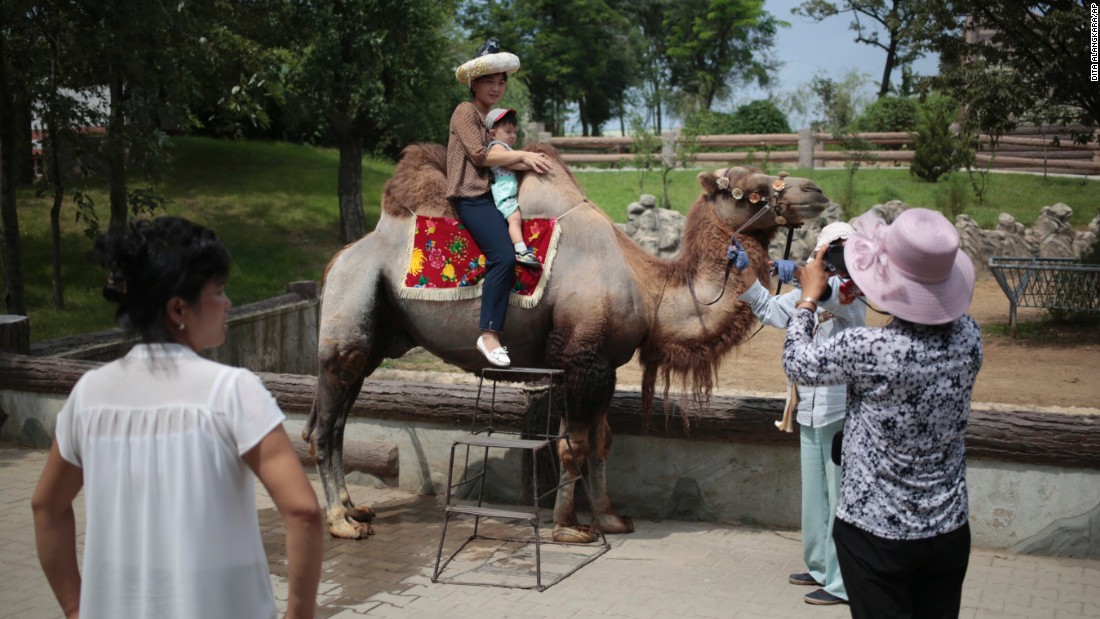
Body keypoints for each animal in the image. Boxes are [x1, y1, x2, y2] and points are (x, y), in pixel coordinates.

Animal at [301, 142, 827, 540]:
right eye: (749, 190)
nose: (816, 191)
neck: (650, 287)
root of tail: (336, 261)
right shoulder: (580, 355)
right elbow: (572, 446)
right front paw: (569, 527)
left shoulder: (604, 363)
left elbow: (601, 442)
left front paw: (612, 518)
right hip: (349, 319)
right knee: (325, 428)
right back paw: (341, 523)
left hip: (377, 338)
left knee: (339, 421)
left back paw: (356, 509)